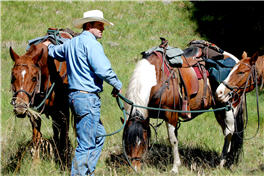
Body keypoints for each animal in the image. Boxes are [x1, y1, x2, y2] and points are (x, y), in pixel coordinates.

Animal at [9, 31, 71, 167]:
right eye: (13, 77)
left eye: (33, 78)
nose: (20, 107)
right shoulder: (34, 113)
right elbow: (36, 137)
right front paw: (35, 165)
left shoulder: (63, 111)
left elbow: (64, 135)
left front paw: (64, 163)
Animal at [122, 41, 244, 173]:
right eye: (126, 143)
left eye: (142, 143)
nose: (135, 169)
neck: (158, 78)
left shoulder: (170, 114)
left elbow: (173, 140)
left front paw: (175, 167)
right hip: (219, 111)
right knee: (227, 133)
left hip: (229, 108)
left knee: (229, 132)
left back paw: (221, 164)